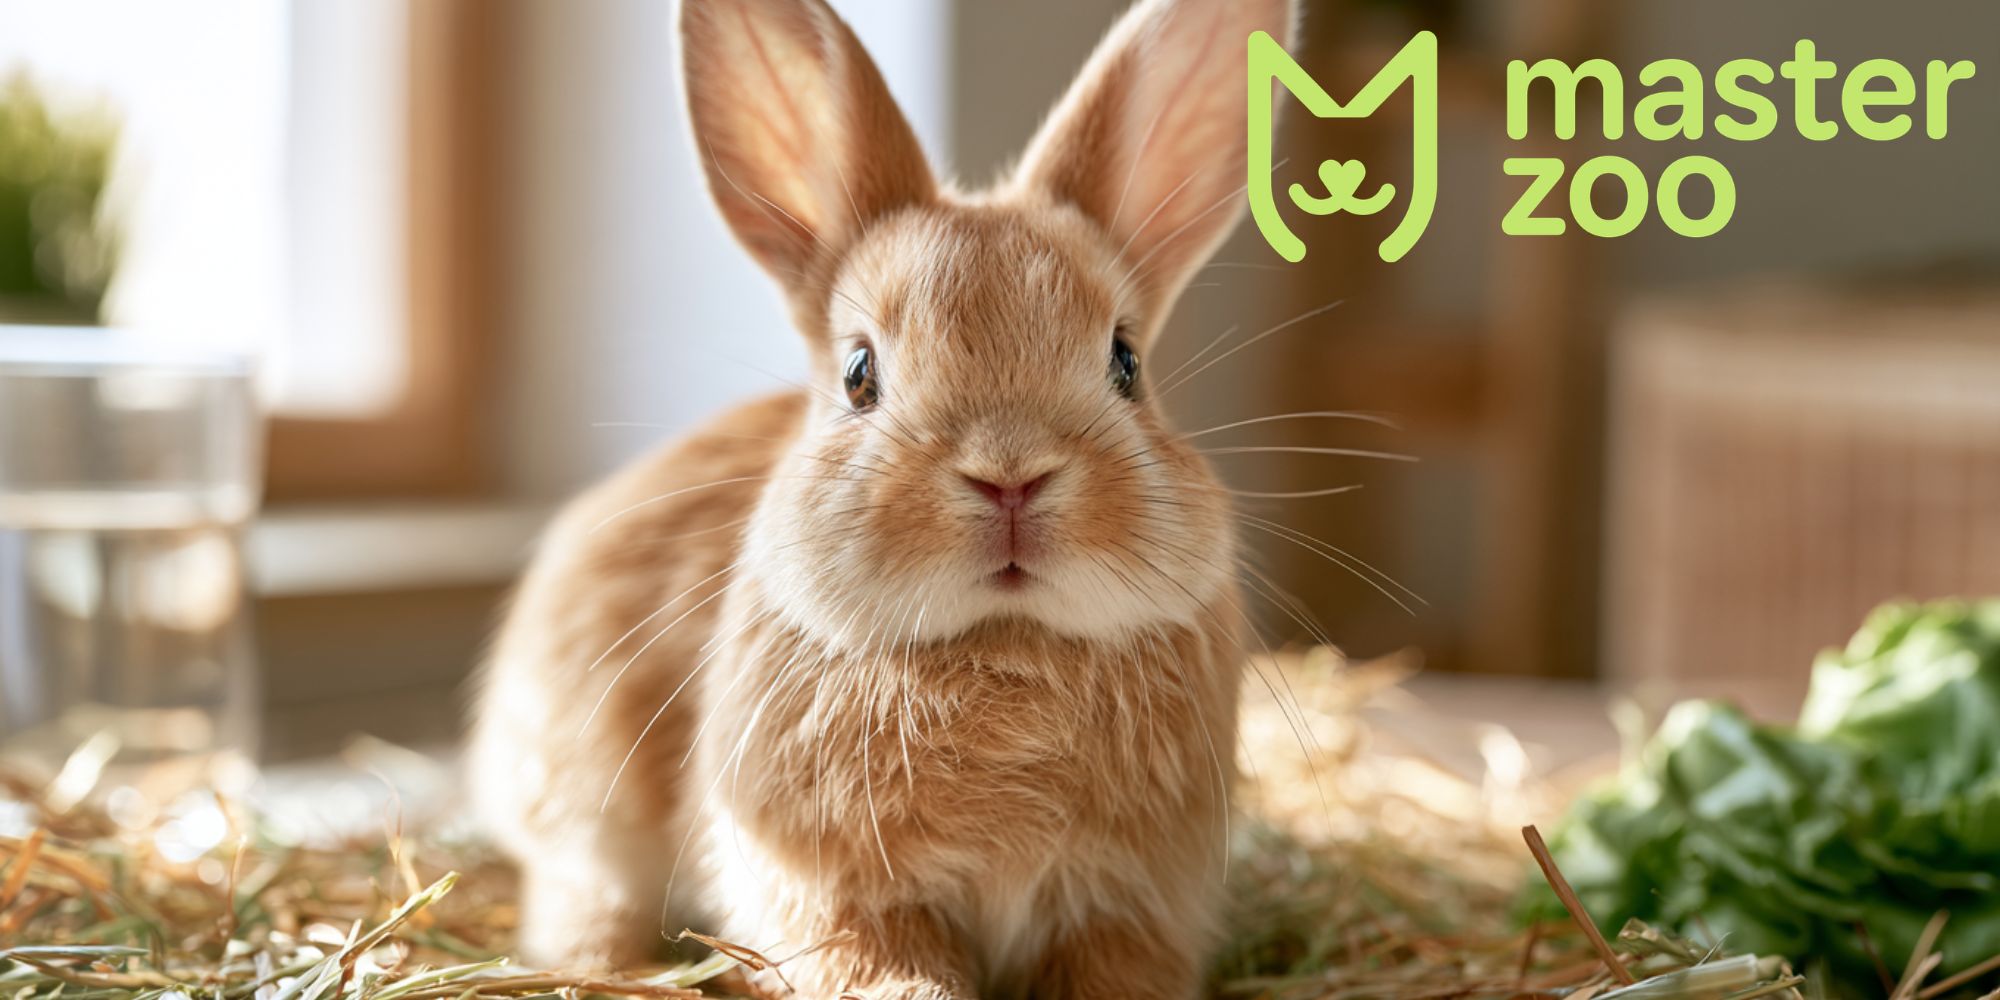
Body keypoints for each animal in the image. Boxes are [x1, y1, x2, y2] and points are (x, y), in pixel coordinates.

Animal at [469, 0, 1296, 995]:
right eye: (860, 373)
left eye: (1126, 362)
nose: (1009, 474)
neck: (1003, 642)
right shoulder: (837, 904)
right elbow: (890, 975)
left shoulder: (1125, 912)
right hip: (583, 807)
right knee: (578, 902)